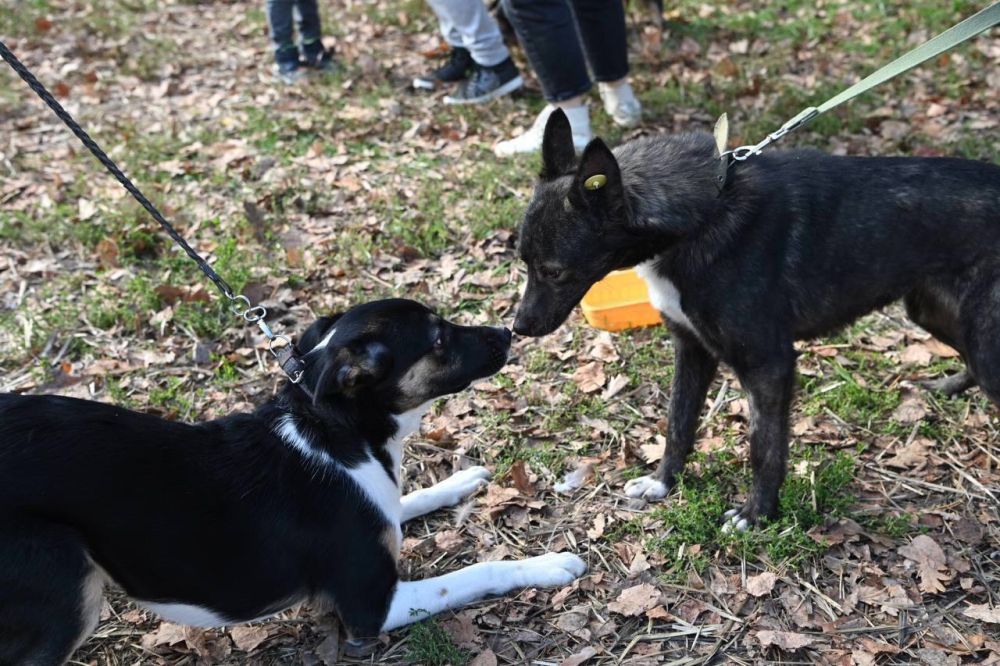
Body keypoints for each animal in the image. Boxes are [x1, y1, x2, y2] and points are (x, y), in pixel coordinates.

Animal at [0, 298, 584, 660]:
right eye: (439, 337)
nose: (508, 332)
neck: (338, 431)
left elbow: (408, 499)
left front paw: (461, 480)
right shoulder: (370, 607)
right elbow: (476, 571)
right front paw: (548, 564)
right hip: (68, 581)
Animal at [516, 106, 1000, 528]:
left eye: (554, 271)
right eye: (522, 260)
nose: (519, 327)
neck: (701, 213)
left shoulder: (769, 366)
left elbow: (763, 449)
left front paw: (757, 515)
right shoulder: (691, 350)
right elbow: (677, 424)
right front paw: (662, 483)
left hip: (980, 339)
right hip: (935, 314)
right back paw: (946, 387)